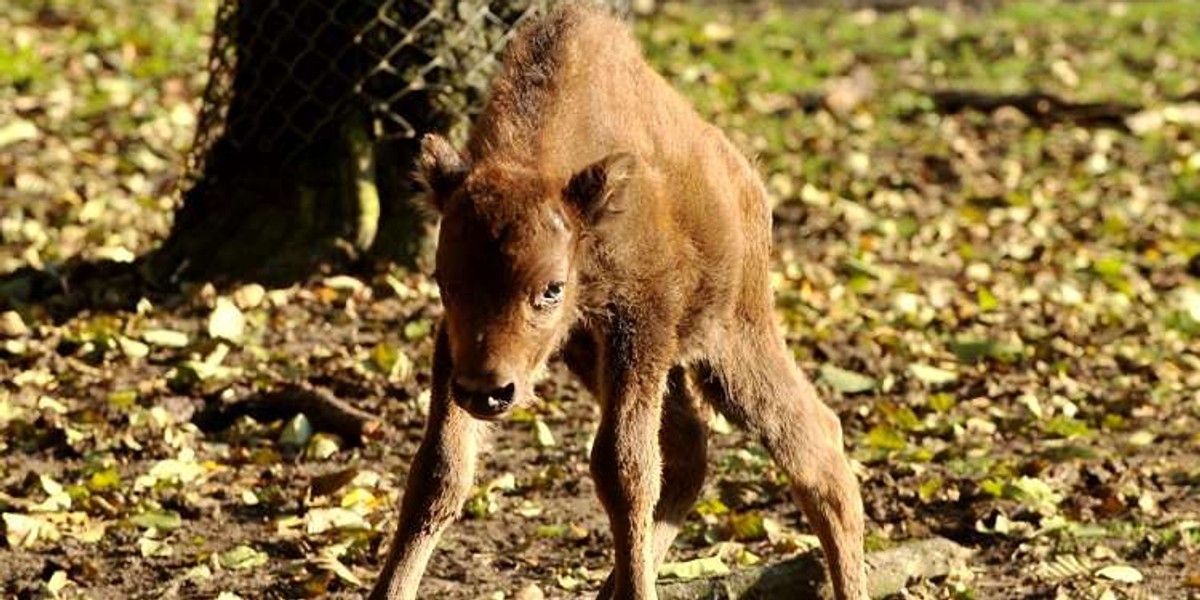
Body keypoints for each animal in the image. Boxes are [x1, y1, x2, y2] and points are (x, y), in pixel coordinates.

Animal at [369, 4, 868, 600]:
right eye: (446, 281)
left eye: (551, 288)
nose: (487, 391)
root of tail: (744, 179)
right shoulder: (463, 347)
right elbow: (440, 471)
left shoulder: (641, 325)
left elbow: (623, 467)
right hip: (590, 354)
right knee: (690, 453)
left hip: (733, 339)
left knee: (813, 445)